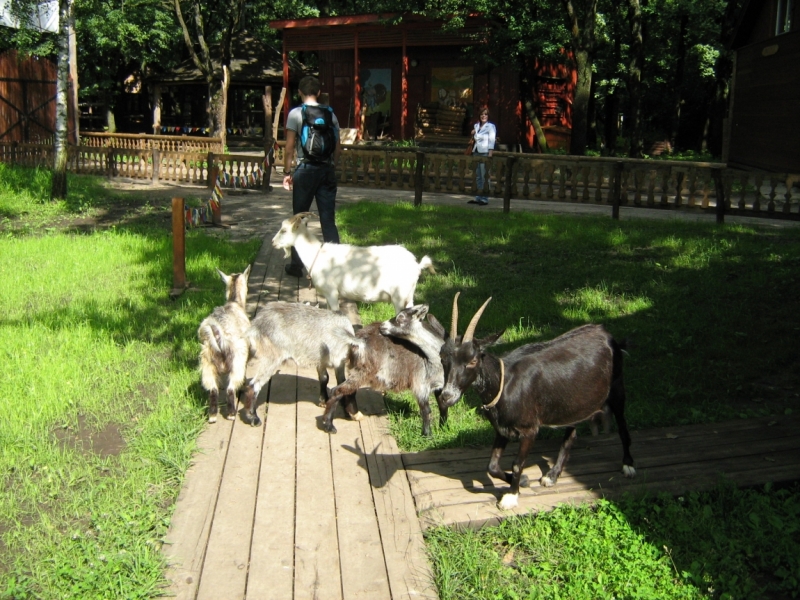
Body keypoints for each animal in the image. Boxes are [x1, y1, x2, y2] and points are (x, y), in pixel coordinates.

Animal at [197, 264, 250, 424]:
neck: (234, 303)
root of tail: (216, 332)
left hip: (206, 361)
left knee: (213, 389)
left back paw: (213, 416)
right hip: (237, 358)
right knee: (231, 388)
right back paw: (231, 413)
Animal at [272, 212, 434, 314]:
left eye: (284, 230)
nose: (273, 242)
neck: (316, 254)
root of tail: (416, 264)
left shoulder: (331, 292)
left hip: (399, 296)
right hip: (409, 295)